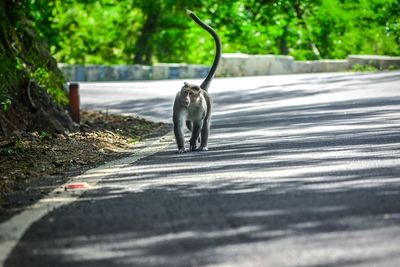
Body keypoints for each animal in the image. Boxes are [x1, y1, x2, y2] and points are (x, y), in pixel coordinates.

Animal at [173, 10, 222, 154]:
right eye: (185, 92)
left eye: (190, 93)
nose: (185, 98)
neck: (191, 104)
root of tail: (203, 88)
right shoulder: (178, 104)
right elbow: (179, 125)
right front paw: (182, 147)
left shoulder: (201, 107)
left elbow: (199, 125)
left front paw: (193, 142)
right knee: (189, 124)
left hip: (209, 104)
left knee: (204, 124)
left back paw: (202, 144)